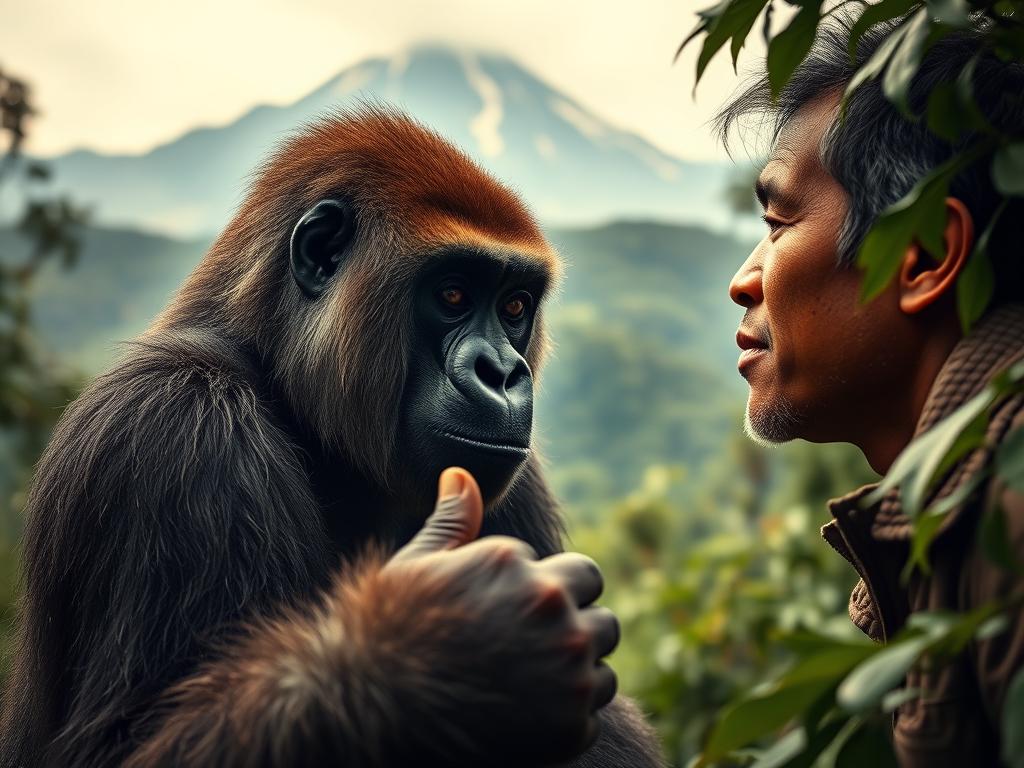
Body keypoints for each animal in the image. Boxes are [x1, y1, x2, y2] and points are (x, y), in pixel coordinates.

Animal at [0, 106, 665, 768]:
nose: (502, 373)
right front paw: (451, 648)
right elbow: (128, 743)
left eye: (516, 307)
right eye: (453, 293)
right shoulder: (174, 427)